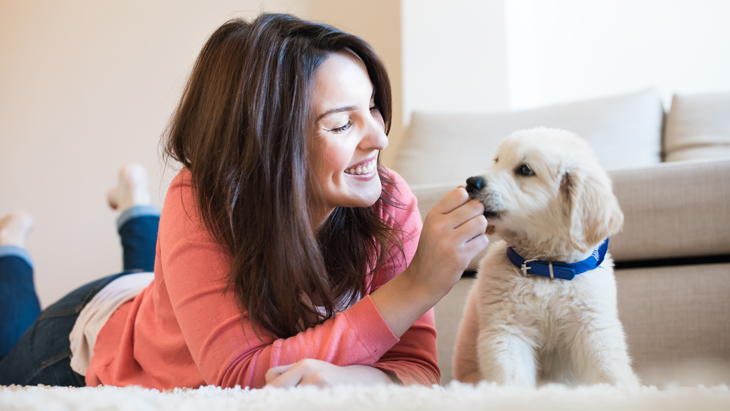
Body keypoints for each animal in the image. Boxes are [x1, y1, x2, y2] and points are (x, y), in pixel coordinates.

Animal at [456, 129, 636, 390]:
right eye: (497, 160)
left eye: (525, 170)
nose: (471, 182)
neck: (547, 268)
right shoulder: (507, 329)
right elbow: (512, 378)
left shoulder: (592, 327)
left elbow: (607, 372)